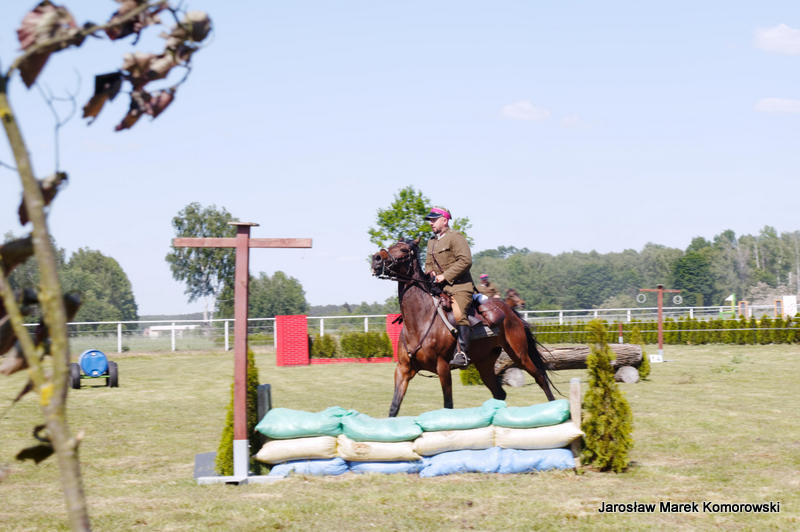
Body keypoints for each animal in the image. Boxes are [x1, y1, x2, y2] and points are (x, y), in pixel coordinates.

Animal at [372, 239, 556, 416]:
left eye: (403, 250)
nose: (376, 259)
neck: (420, 321)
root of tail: (510, 312)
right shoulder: (403, 370)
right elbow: (394, 407)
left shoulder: (443, 368)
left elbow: (448, 405)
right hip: (484, 363)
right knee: (499, 393)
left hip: (519, 355)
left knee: (540, 377)